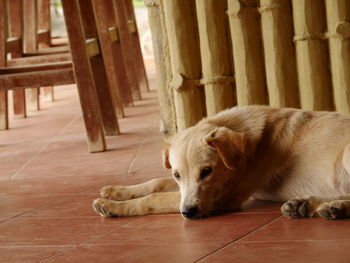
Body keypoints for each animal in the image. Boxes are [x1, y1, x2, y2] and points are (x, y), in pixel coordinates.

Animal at [92, 105, 350, 221]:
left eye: (207, 171)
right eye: (177, 175)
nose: (188, 213)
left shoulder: (220, 198)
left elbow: (153, 199)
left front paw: (113, 206)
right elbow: (155, 182)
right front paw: (116, 191)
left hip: (347, 153)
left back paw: (328, 206)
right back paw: (311, 205)